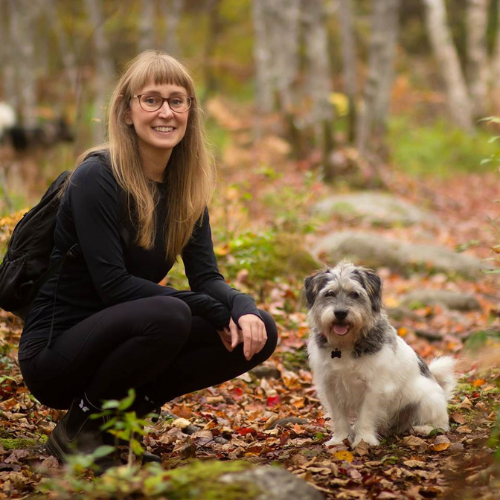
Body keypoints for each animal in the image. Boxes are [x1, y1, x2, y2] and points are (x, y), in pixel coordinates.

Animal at [304, 262, 458, 450]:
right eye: (329, 293)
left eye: (355, 294)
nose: (340, 313)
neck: (346, 344)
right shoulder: (330, 386)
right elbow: (339, 417)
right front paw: (340, 439)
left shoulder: (375, 387)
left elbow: (366, 416)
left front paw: (363, 440)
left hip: (427, 401)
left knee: (441, 425)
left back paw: (423, 429)